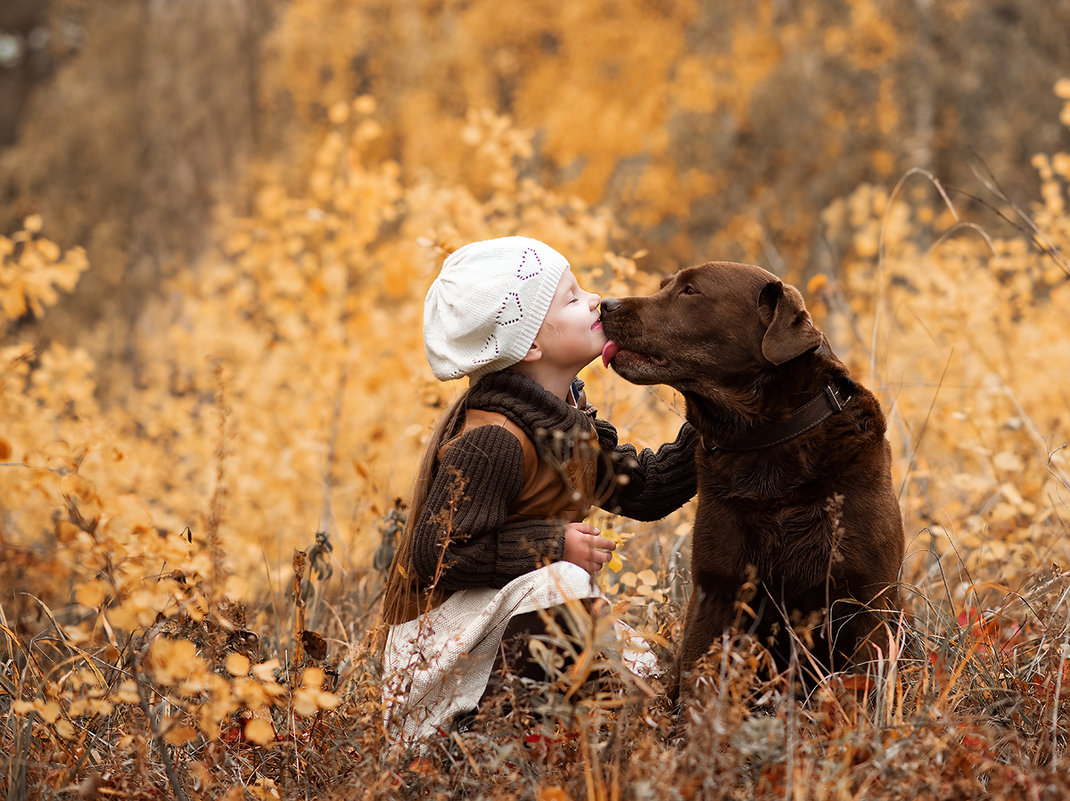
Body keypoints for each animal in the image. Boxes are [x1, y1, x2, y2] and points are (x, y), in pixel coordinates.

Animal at [603, 262, 903, 692]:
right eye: (664, 285)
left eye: (690, 290)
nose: (603, 304)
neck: (769, 443)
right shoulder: (716, 589)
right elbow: (697, 682)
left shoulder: (868, 600)